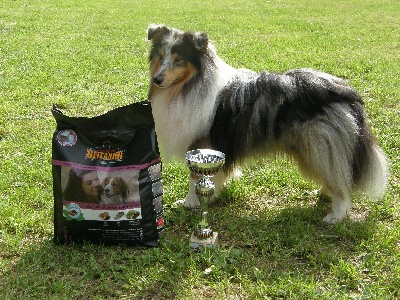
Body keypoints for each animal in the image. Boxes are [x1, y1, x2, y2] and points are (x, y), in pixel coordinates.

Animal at [147, 24, 388, 224]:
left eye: (179, 59)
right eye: (161, 56)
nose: (157, 80)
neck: (188, 85)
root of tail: (346, 91)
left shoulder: (202, 144)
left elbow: (195, 178)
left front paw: (189, 203)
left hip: (320, 145)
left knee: (340, 184)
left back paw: (335, 215)